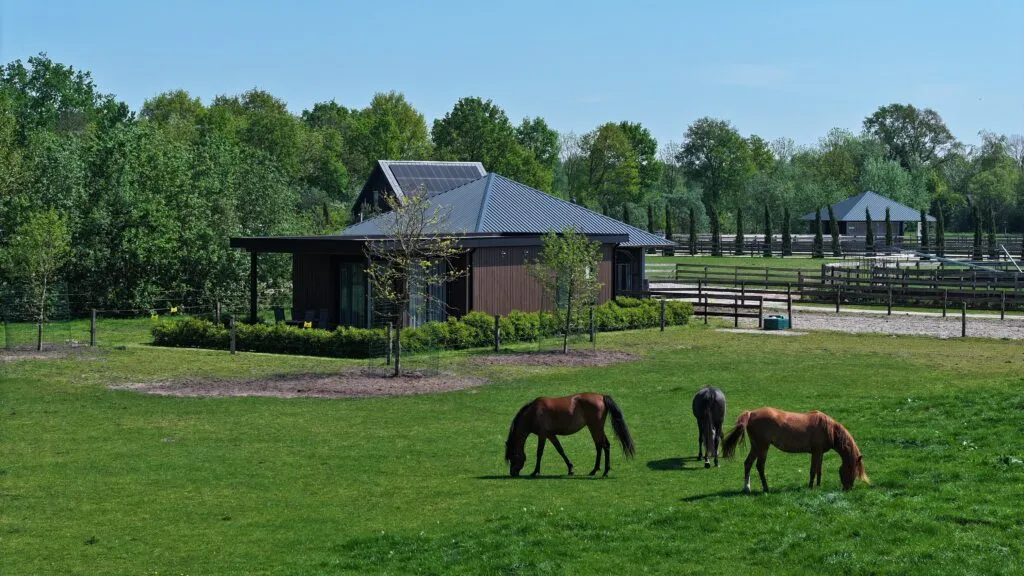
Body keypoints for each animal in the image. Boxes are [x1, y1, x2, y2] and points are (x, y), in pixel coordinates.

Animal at [720, 405, 872, 491]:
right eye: (852, 469)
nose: (848, 488)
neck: (829, 429)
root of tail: (751, 413)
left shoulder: (820, 453)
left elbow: (819, 470)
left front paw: (818, 486)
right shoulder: (816, 452)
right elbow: (813, 470)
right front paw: (810, 487)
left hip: (756, 446)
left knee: (748, 463)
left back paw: (747, 488)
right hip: (763, 446)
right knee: (759, 466)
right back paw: (766, 488)